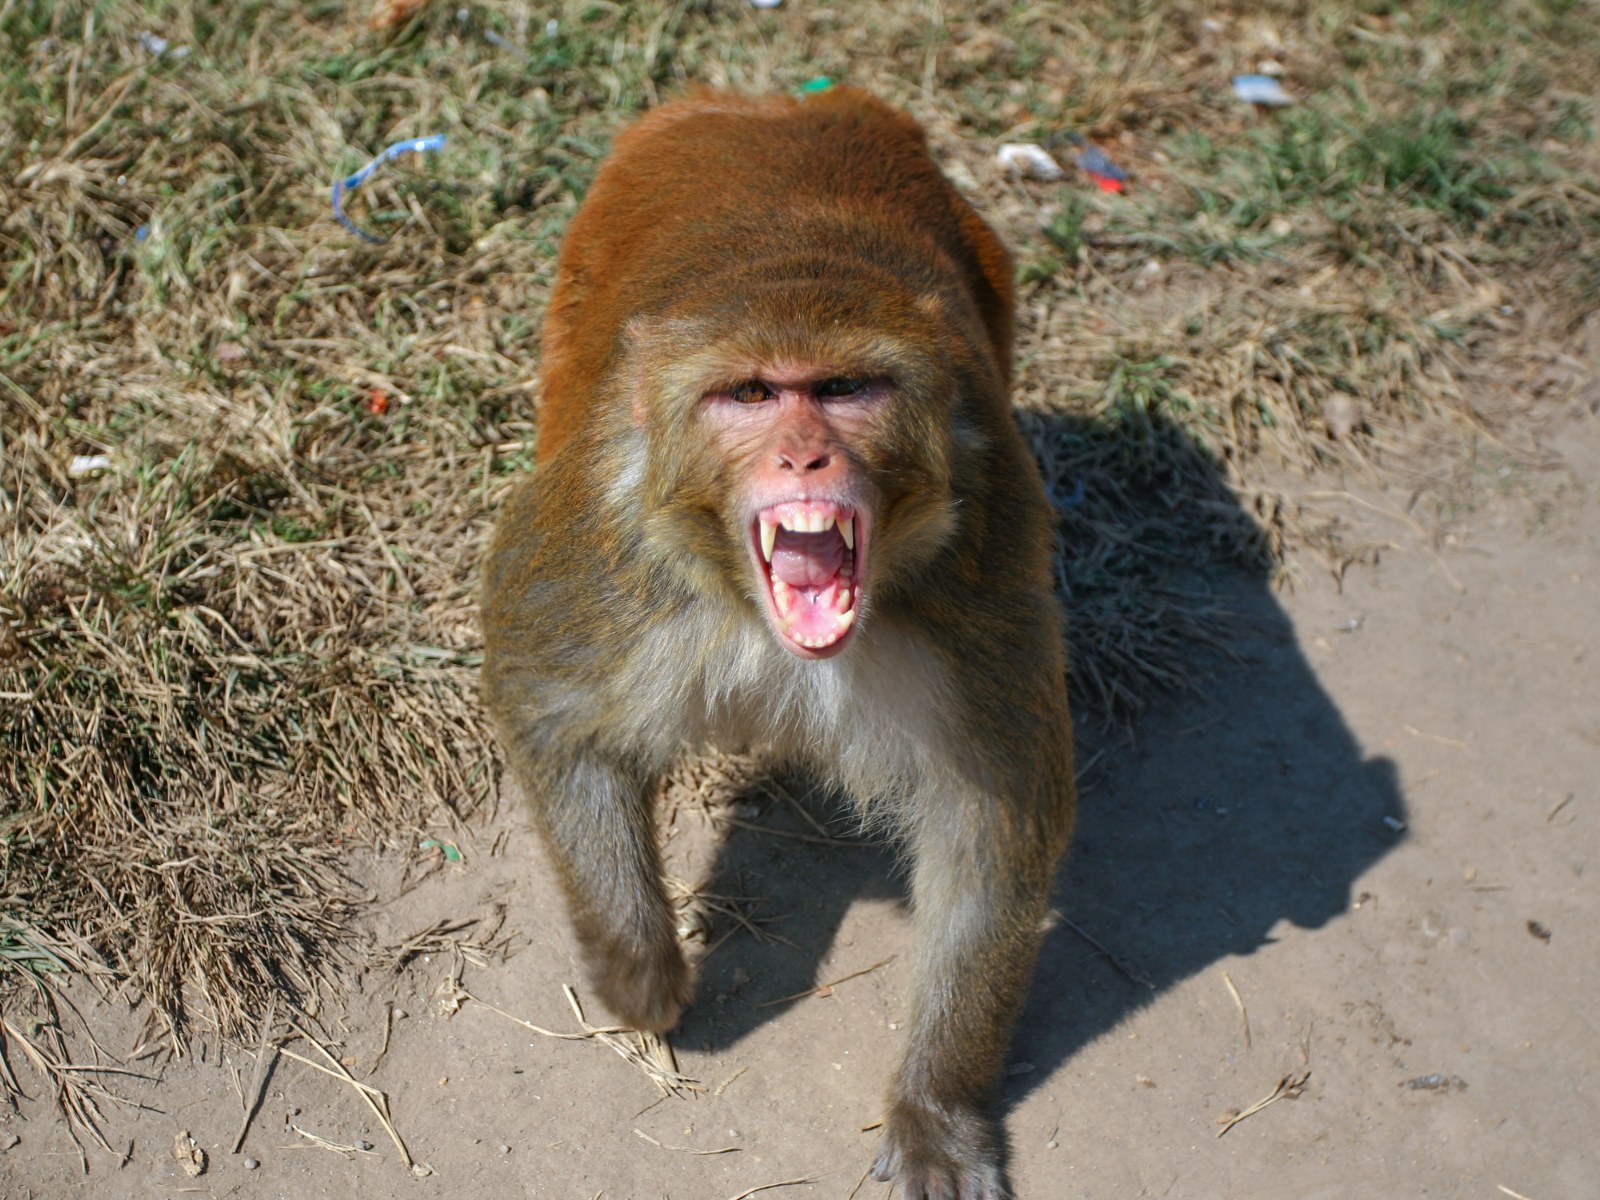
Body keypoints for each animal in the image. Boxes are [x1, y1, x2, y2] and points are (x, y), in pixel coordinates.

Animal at [481, 87, 1075, 1200]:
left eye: (844, 390)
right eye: (752, 395)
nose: (807, 454)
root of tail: (776, 104)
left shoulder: (985, 564)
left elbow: (990, 823)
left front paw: (937, 1109)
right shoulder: (607, 548)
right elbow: (548, 707)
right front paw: (637, 968)